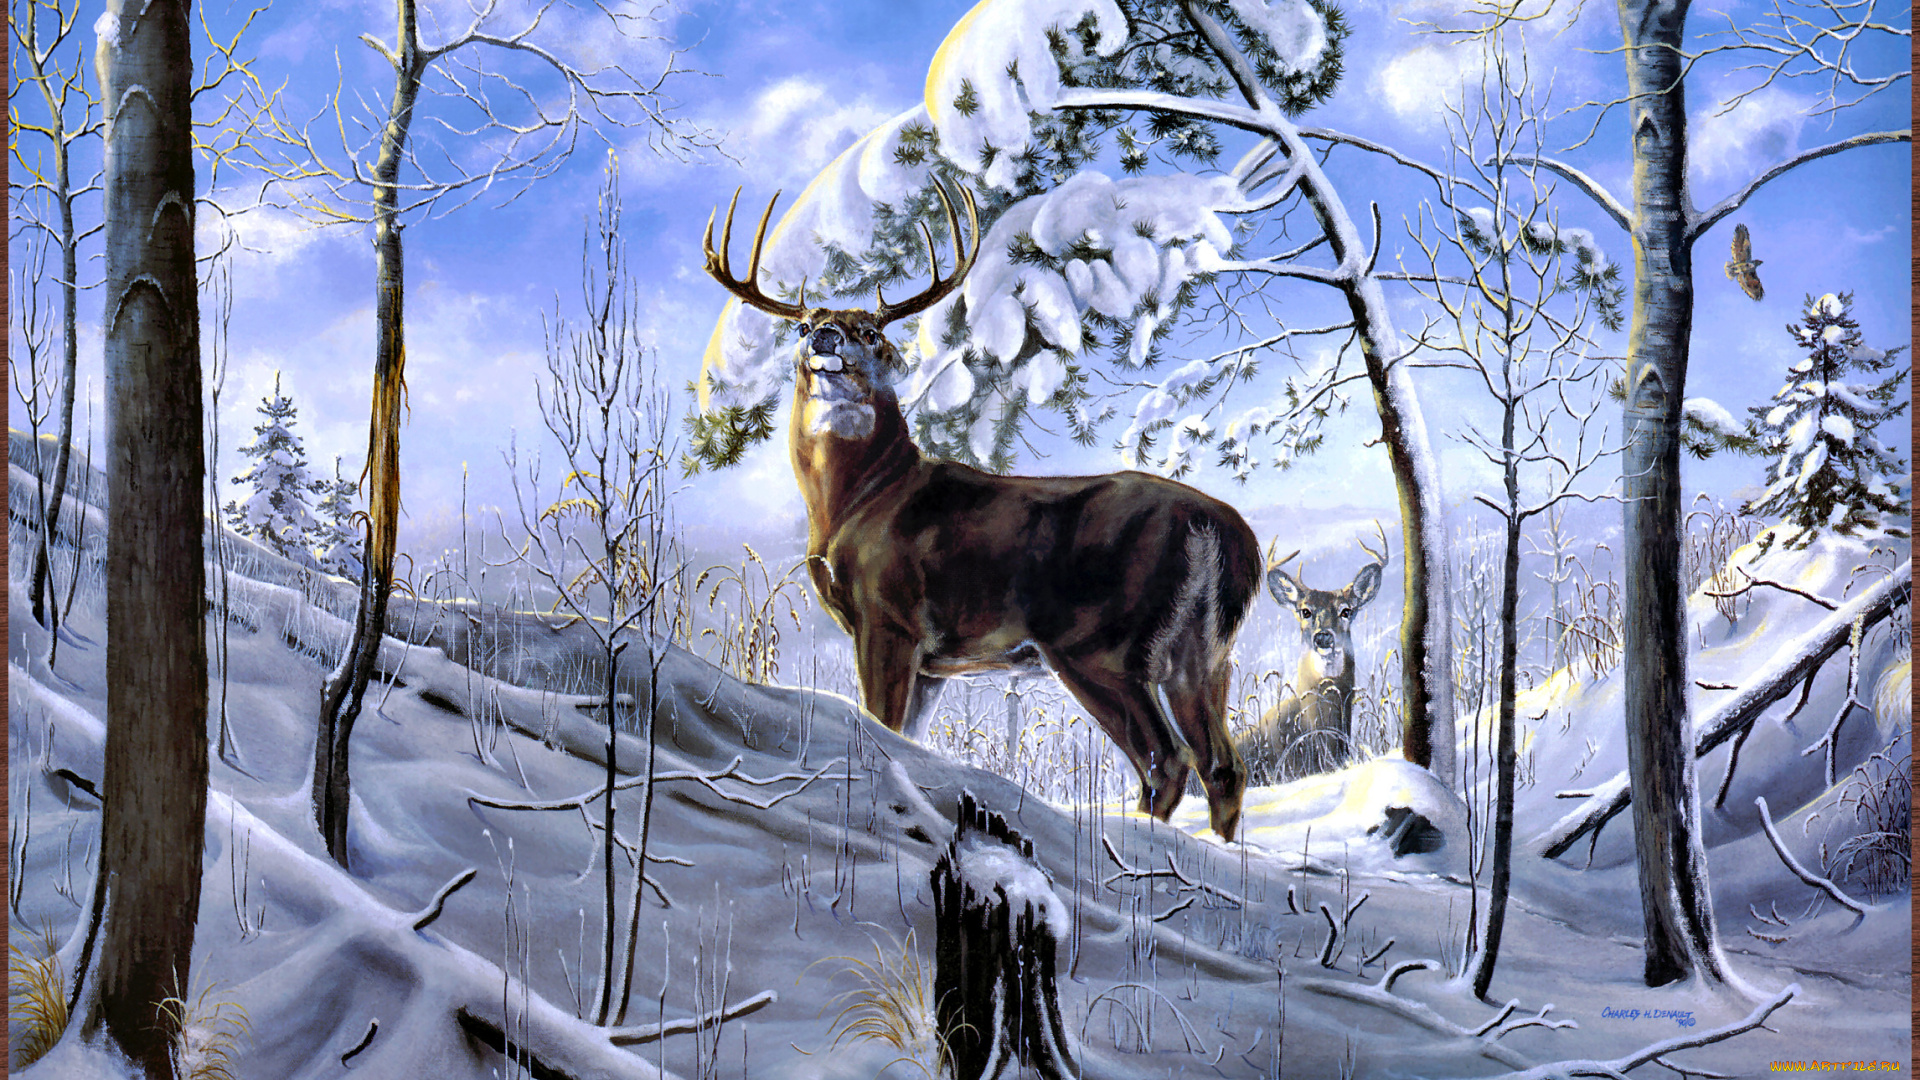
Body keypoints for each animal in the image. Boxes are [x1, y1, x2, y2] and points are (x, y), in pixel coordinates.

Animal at [702, 182, 1261, 839]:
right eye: (807, 325)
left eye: (871, 333)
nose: (827, 337)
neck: (857, 501)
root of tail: (1220, 528)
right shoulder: (933, 663)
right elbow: (907, 739)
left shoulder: (889, 617)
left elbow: (879, 724)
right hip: (1202, 653)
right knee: (1222, 765)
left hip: (1100, 644)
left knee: (1166, 761)